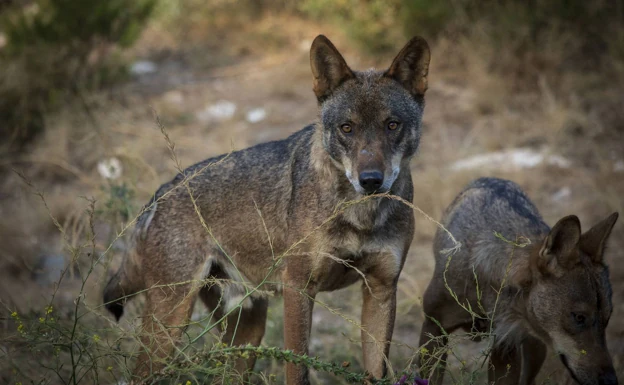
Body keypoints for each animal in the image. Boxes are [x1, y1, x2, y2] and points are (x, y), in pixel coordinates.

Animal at [105, 34, 432, 382]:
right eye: (347, 128)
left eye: (392, 125)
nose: (370, 180)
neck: (361, 216)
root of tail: (161, 193)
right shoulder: (298, 288)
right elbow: (297, 368)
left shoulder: (381, 290)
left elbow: (376, 371)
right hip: (171, 324)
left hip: (245, 331)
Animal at [420, 177, 620, 384]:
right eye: (579, 317)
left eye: (607, 319)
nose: (611, 380)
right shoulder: (433, 329)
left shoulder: (506, 346)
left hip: (534, 348)